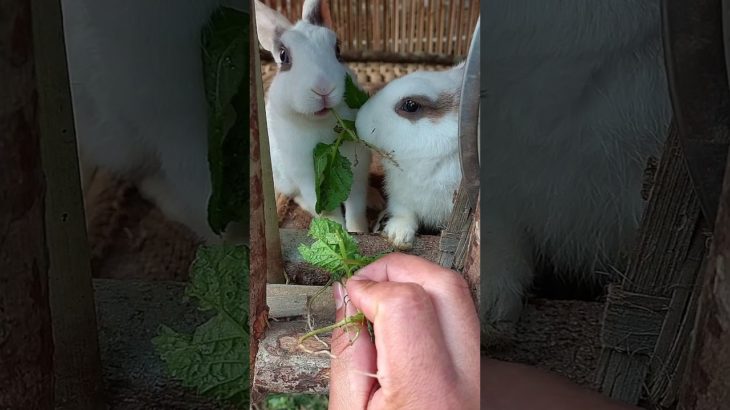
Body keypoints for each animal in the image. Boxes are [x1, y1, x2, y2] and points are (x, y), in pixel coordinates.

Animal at [254, 0, 371, 233]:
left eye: (337, 49)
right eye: (283, 56)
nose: (323, 88)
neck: (321, 124)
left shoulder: (358, 173)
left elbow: (356, 208)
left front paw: (359, 231)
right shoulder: (310, 179)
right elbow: (327, 211)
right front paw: (335, 231)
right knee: (296, 197)